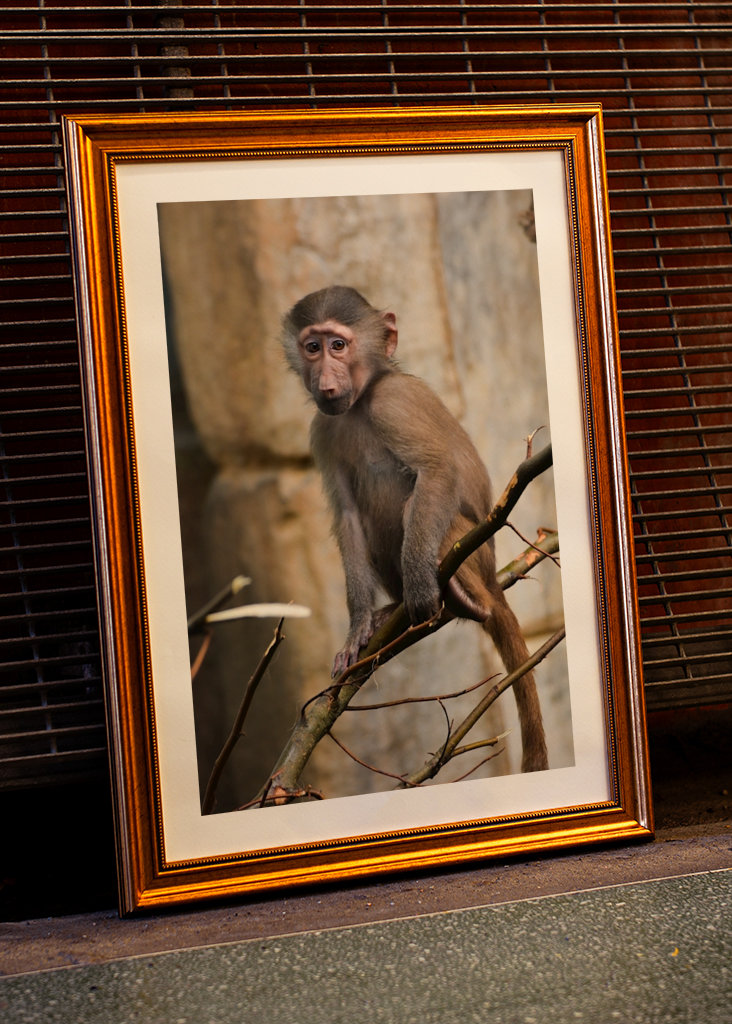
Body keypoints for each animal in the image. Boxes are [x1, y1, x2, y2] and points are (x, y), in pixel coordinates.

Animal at [282, 285, 548, 773]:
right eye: (312, 347)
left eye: (338, 345)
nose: (325, 378)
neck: (362, 401)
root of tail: (492, 579)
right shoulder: (323, 429)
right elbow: (349, 519)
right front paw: (358, 627)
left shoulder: (395, 404)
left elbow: (436, 470)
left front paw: (422, 587)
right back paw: (392, 610)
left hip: (474, 550)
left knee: (419, 503)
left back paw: (460, 598)